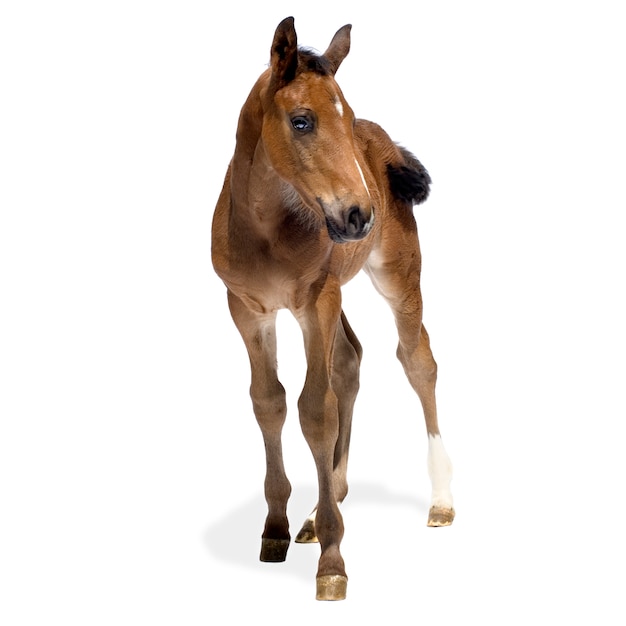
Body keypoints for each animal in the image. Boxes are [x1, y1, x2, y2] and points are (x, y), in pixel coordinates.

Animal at [211, 17, 454, 596]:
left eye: (342, 117)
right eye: (301, 121)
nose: (359, 214)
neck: (264, 226)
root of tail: (384, 142)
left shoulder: (314, 301)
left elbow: (315, 411)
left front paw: (332, 561)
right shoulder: (248, 309)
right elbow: (269, 402)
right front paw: (276, 528)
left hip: (394, 276)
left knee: (418, 360)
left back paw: (440, 500)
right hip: (337, 293)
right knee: (350, 360)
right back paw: (322, 507)